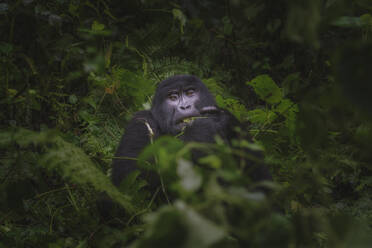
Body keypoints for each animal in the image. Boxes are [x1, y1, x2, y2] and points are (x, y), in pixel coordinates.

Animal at [110, 74, 270, 189]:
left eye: (190, 93)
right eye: (173, 97)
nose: (185, 106)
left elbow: (260, 179)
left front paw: (224, 120)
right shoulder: (140, 122)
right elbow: (131, 176)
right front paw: (201, 130)